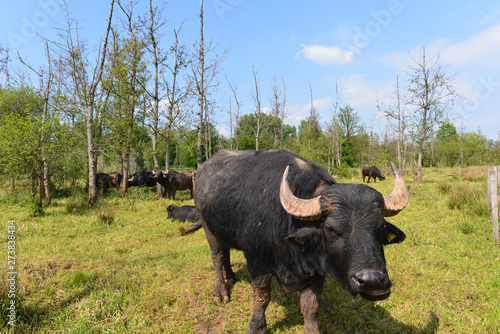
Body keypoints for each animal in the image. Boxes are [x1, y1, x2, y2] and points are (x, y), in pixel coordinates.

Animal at [193, 150, 408, 332]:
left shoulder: (317, 269)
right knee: (218, 256)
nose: (371, 280)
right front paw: (257, 327)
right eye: (330, 228)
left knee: (226, 253)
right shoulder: (257, 262)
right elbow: (262, 297)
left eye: (380, 227)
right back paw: (221, 292)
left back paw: (230, 276)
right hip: (208, 228)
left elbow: (311, 306)